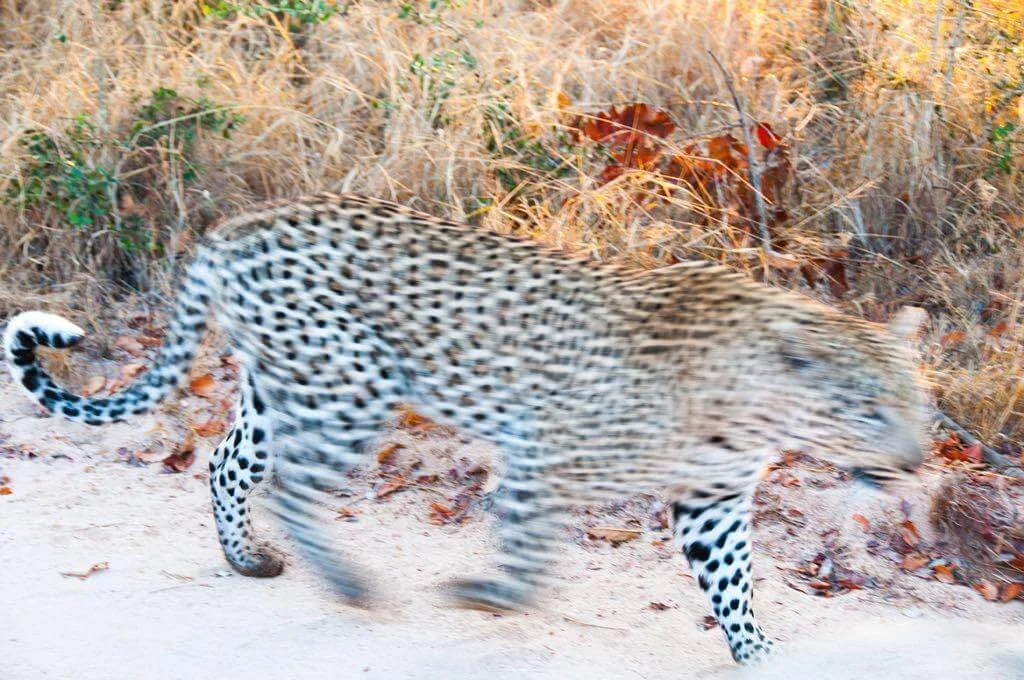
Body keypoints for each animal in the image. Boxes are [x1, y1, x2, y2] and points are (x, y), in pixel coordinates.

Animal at [3, 192, 930, 664]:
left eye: (918, 406)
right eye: (867, 408)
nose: (919, 460)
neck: (750, 404)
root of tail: (234, 227)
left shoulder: (714, 502)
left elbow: (734, 582)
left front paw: (762, 652)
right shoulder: (545, 451)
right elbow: (529, 553)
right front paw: (488, 598)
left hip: (283, 385)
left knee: (229, 464)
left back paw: (247, 560)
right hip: (352, 385)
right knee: (295, 488)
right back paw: (346, 584)